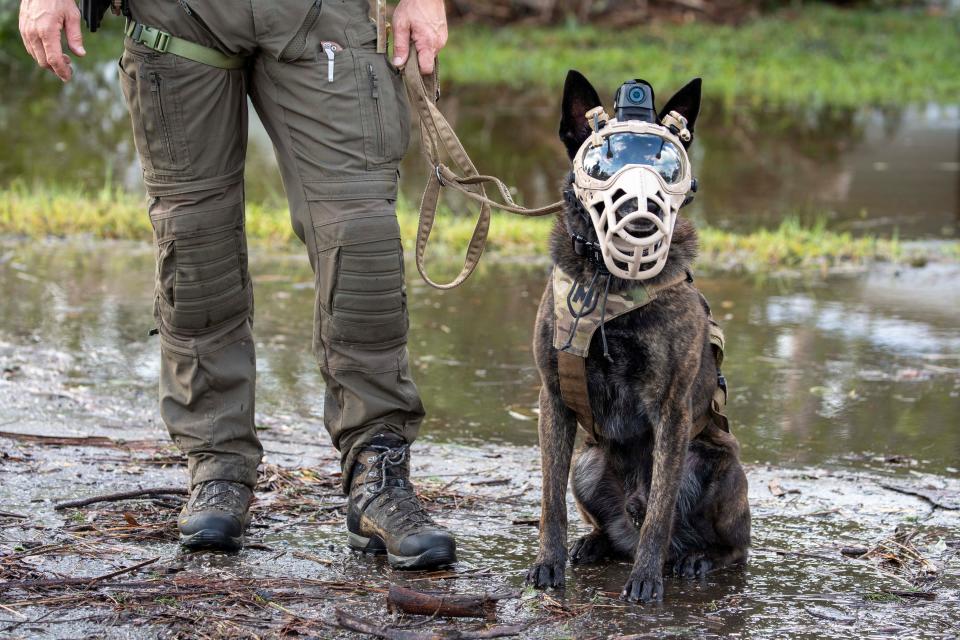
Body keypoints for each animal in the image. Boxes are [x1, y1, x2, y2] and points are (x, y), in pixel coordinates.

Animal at [524, 72, 752, 604]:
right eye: (602, 162)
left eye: (667, 165)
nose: (640, 209)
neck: (610, 282)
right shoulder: (553, 398)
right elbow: (549, 499)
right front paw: (548, 563)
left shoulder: (670, 410)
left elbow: (660, 511)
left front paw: (646, 580)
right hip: (588, 462)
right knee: (605, 524)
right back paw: (594, 544)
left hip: (722, 466)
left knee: (729, 547)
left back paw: (696, 558)